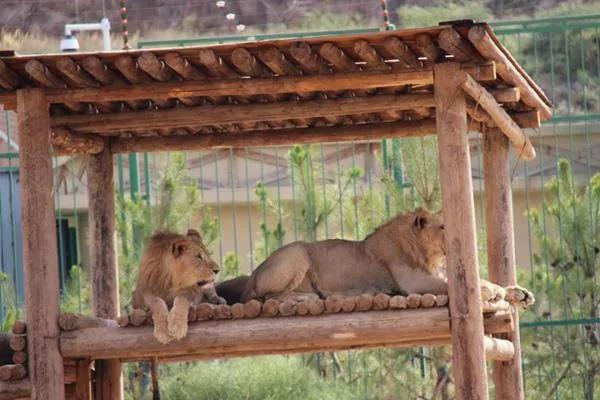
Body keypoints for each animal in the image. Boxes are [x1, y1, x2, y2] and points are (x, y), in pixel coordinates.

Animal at [243, 208, 536, 308]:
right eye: (443, 226)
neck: (428, 255)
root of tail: (252, 275)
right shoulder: (417, 283)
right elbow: (479, 283)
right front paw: (495, 293)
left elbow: (486, 279)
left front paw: (518, 292)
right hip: (298, 253)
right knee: (270, 297)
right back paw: (308, 298)